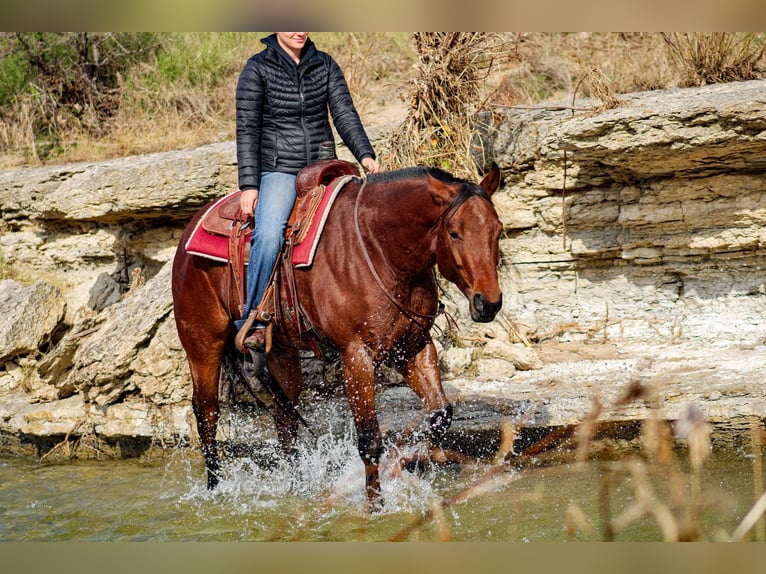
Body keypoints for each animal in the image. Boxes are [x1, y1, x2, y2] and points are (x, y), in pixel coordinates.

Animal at [172, 161, 508, 504]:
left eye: (497, 230)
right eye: (454, 233)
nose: (488, 303)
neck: (380, 249)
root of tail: (192, 227)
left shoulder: (413, 346)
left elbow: (440, 414)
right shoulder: (356, 355)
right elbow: (369, 439)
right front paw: (375, 504)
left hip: (281, 351)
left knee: (284, 417)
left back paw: (297, 487)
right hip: (202, 343)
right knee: (207, 412)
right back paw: (214, 488)